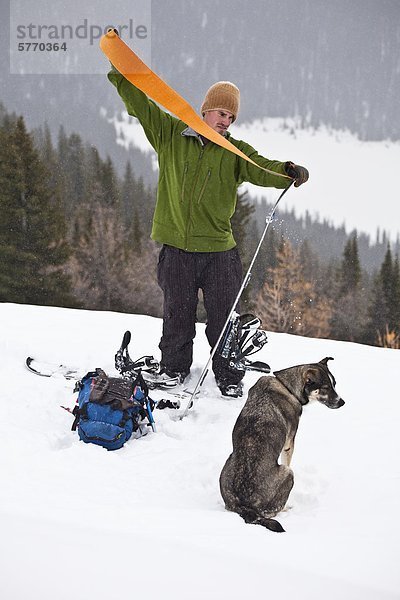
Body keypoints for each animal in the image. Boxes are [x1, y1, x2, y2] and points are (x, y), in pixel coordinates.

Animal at [219, 356, 344, 528]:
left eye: (335, 384)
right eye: (325, 387)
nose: (342, 402)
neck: (286, 385)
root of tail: (244, 506)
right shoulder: (289, 444)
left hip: (227, 465)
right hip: (288, 473)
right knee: (273, 511)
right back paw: (286, 508)